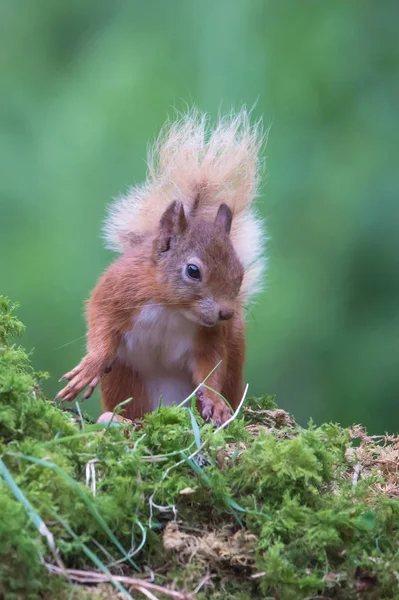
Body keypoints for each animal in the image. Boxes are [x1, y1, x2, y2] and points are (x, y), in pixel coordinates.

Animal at [56, 109, 268, 426]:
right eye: (193, 271)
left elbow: (210, 368)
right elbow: (100, 327)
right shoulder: (117, 291)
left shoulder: (209, 337)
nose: (226, 313)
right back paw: (117, 419)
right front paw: (90, 367)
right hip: (126, 379)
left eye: (239, 272)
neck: (172, 308)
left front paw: (216, 403)